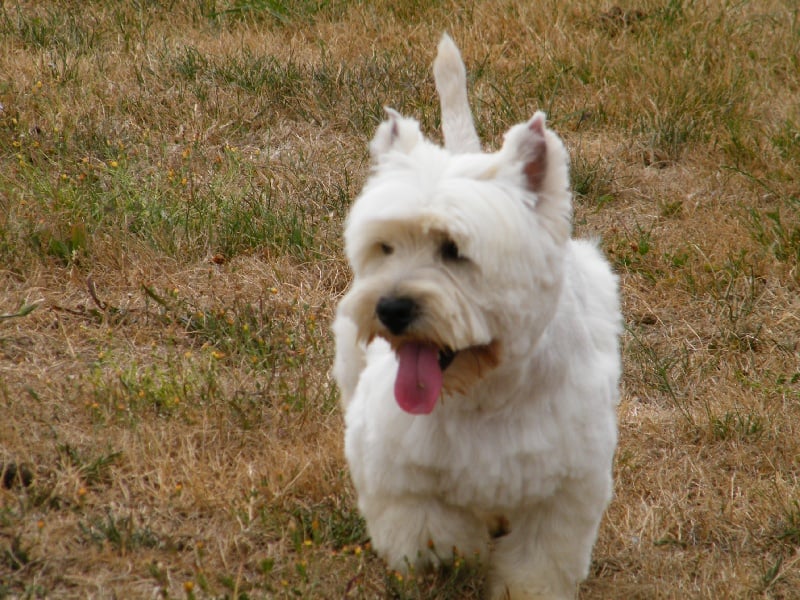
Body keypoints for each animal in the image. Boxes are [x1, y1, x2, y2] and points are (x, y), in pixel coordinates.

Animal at [332, 34, 622, 600]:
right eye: (385, 247)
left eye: (454, 250)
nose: (390, 308)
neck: (483, 395)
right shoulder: (390, 462)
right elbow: (429, 529)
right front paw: (450, 551)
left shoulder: (567, 488)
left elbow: (539, 563)